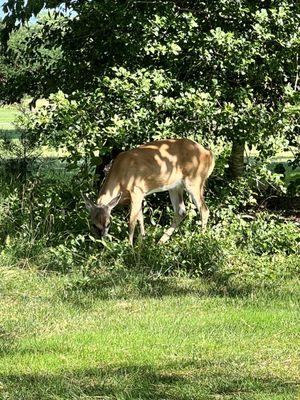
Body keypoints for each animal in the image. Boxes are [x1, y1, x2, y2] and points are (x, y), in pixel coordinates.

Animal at [84, 138, 216, 244]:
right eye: (93, 224)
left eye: (108, 223)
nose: (102, 241)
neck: (119, 175)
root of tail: (209, 154)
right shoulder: (139, 194)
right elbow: (140, 218)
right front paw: (142, 240)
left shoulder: (136, 190)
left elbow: (132, 221)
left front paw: (130, 246)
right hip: (175, 187)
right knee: (181, 211)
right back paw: (160, 242)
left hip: (194, 181)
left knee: (204, 210)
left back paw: (200, 239)